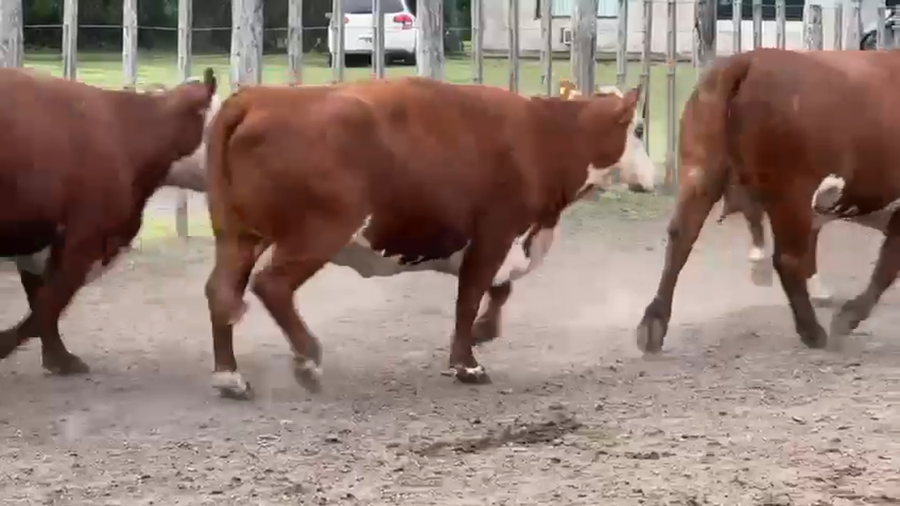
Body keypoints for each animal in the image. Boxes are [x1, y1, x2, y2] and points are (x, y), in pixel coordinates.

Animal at [202, 76, 657, 399]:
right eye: (638, 129)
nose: (651, 179)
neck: (542, 137)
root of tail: (260, 96)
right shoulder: (494, 235)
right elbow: (470, 296)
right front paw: (467, 364)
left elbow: (497, 292)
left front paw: (480, 333)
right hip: (318, 233)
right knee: (271, 285)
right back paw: (307, 360)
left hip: (239, 235)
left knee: (220, 292)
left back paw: (229, 377)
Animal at [636, 47, 900, 354]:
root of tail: (749, 60)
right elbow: (887, 266)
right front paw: (847, 317)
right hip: (793, 194)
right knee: (788, 259)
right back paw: (812, 331)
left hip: (700, 172)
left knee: (681, 237)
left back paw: (653, 324)